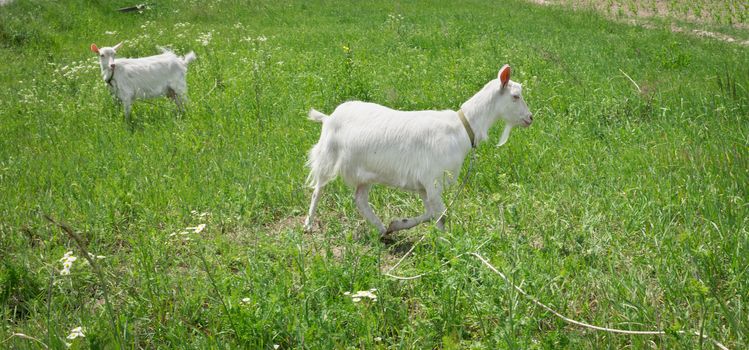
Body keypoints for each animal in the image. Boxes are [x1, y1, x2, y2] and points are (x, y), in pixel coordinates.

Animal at [304, 64, 532, 237]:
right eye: (515, 96)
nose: (530, 118)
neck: (462, 127)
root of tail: (328, 117)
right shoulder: (433, 180)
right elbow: (441, 215)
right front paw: (448, 245)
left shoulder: (425, 185)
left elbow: (431, 214)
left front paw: (397, 224)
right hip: (327, 156)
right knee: (318, 189)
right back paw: (308, 224)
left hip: (364, 173)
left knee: (360, 200)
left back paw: (382, 231)